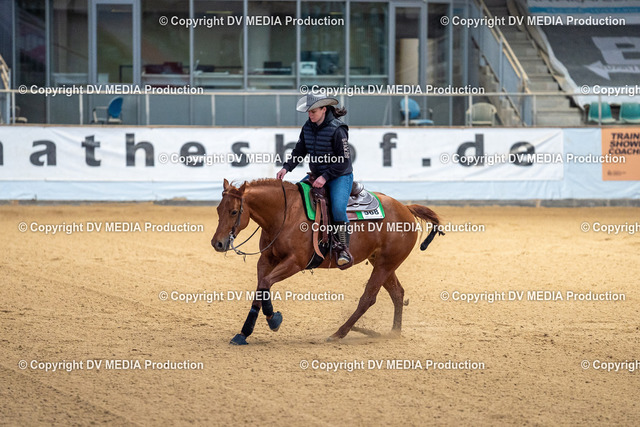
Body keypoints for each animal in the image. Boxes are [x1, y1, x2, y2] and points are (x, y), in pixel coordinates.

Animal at [211, 178, 442, 345]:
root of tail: (406, 208)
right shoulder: (266, 259)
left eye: (234, 211)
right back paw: (393, 332)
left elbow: (266, 283)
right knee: (397, 293)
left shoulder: (296, 262)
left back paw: (339, 333)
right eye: (218, 209)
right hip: (382, 263)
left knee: (368, 298)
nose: (217, 243)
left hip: (385, 264)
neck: (286, 213)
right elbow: (261, 288)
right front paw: (243, 333)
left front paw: (274, 320)